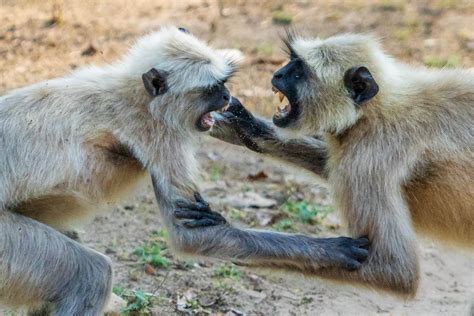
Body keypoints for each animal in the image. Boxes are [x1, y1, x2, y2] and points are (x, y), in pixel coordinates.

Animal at [0, 27, 368, 316]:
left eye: (224, 84)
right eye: (212, 89)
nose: (227, 96)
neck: (135, 95)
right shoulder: (158, 132)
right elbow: (191, 235)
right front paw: (334, 249)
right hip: (7, 244)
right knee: (90, 275)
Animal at [211, 32, 474, 296]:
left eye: (299, 72)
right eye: (291, 62)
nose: (279, 74)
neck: (374, 111)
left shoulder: (368, 155)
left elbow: (395, 269)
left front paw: (225, 237)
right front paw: (244, 126)